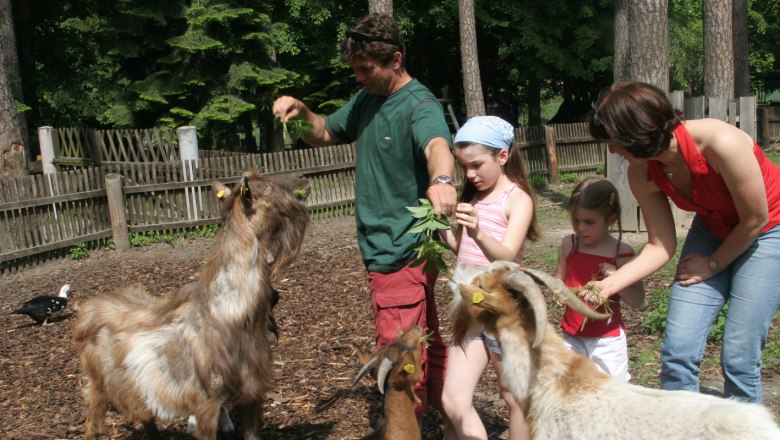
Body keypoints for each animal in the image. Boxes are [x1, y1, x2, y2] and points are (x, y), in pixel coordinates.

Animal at [72, 170, 310, 438]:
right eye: (266, 188)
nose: (303, 178)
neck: (227, 316)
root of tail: (85, 308)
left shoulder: (251, 392)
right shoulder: (206, 403)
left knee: (146, 418)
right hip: (99, 384)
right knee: (93, 424)